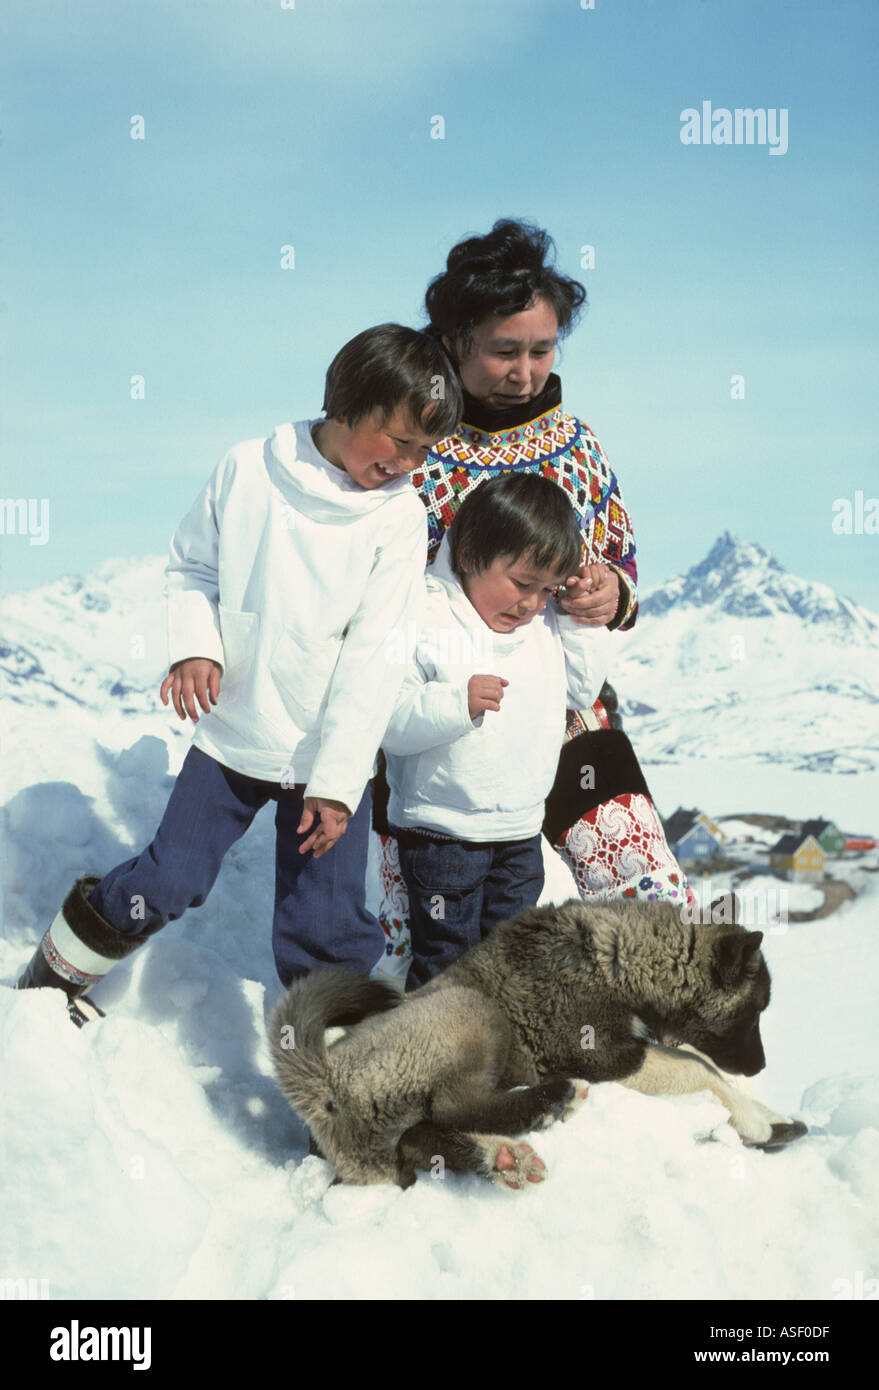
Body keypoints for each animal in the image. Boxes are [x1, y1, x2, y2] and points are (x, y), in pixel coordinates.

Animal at [265, 900, 801, 1195]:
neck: (616, 958)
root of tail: (323, 1082)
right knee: (454, 1107)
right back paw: (550, 1102)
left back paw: (505, 1158)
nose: (761, 1066)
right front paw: (754, 1119)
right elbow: (698, 1066)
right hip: (473, 1011)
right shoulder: (607, 1057)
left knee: (420, 1136)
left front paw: (769, 1115)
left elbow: (702, 1061)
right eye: (756, 1009)